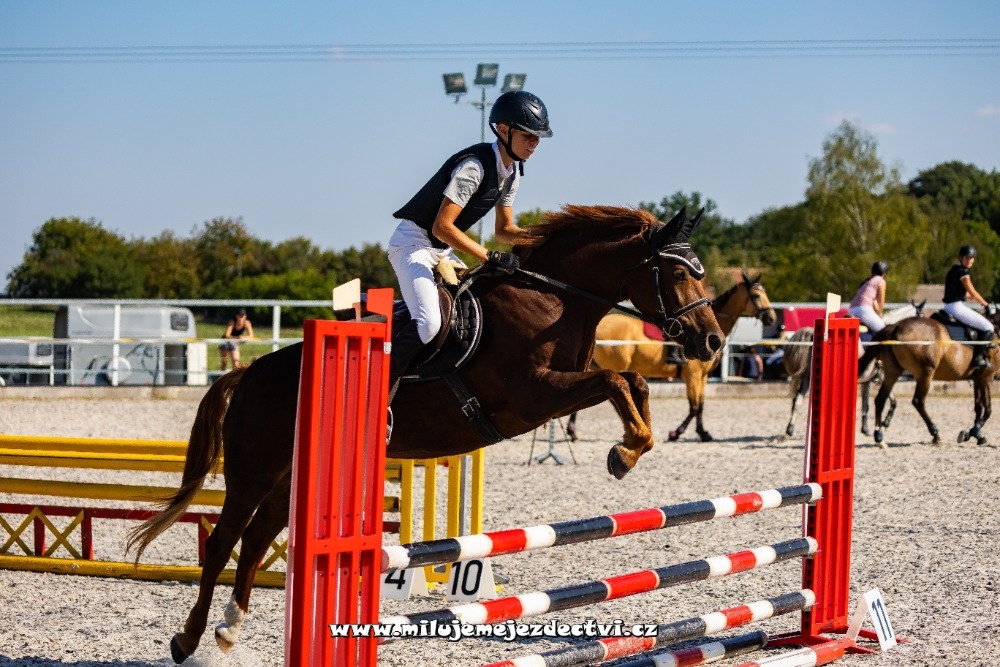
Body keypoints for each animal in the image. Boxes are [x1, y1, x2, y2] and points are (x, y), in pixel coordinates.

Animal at [125, 205, 726, 664]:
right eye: (678, 274)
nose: (712, 341)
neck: (553, 301)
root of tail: (248, 372)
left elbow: (631, 382)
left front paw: (633, 447)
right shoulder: (533, 399)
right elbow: (616, 379)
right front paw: (624, 452)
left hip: (288, 476)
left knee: (253, 542)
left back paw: (229, 629)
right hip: (253, 471)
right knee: (223, 542)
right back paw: (188, 640)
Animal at [566, 273, 776, 442]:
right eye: (756, 296)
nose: (771, 318)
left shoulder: (703, 376)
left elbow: (700, 405)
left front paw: (703, 433)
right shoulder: (692, 375)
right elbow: (694, 406)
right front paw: (677, 432)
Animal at [782, 301, 925, 438]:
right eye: (922, 315)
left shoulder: (867, 381)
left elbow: (866, 406)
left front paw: (866, 429)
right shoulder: (882, 377)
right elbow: (892, 402)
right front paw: (885, 424)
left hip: (807, 377)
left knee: (798, 400)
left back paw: (790, 430)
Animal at [858, 303, 1000, 447]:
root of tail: (895, 326)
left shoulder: (978, 379)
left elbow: (978, 407)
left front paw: (975, 434)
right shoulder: (987, 377)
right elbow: (988, 409)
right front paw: (973, 432)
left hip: (893, 372)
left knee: (880, 399)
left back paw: (879, 436)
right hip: (925, 374)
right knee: (918, 401)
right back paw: (935, 434)